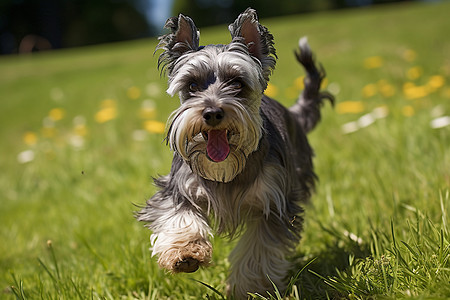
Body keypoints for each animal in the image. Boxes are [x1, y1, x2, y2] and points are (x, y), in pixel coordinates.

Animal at [137, 7, 334, 298]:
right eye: (192, 85)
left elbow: (258, 252)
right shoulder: (178, 189)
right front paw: (186, 253)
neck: (227, 166)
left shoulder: (274, 204)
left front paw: (248, 289)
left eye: (237, 83)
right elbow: (179, 217)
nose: (212, 112)